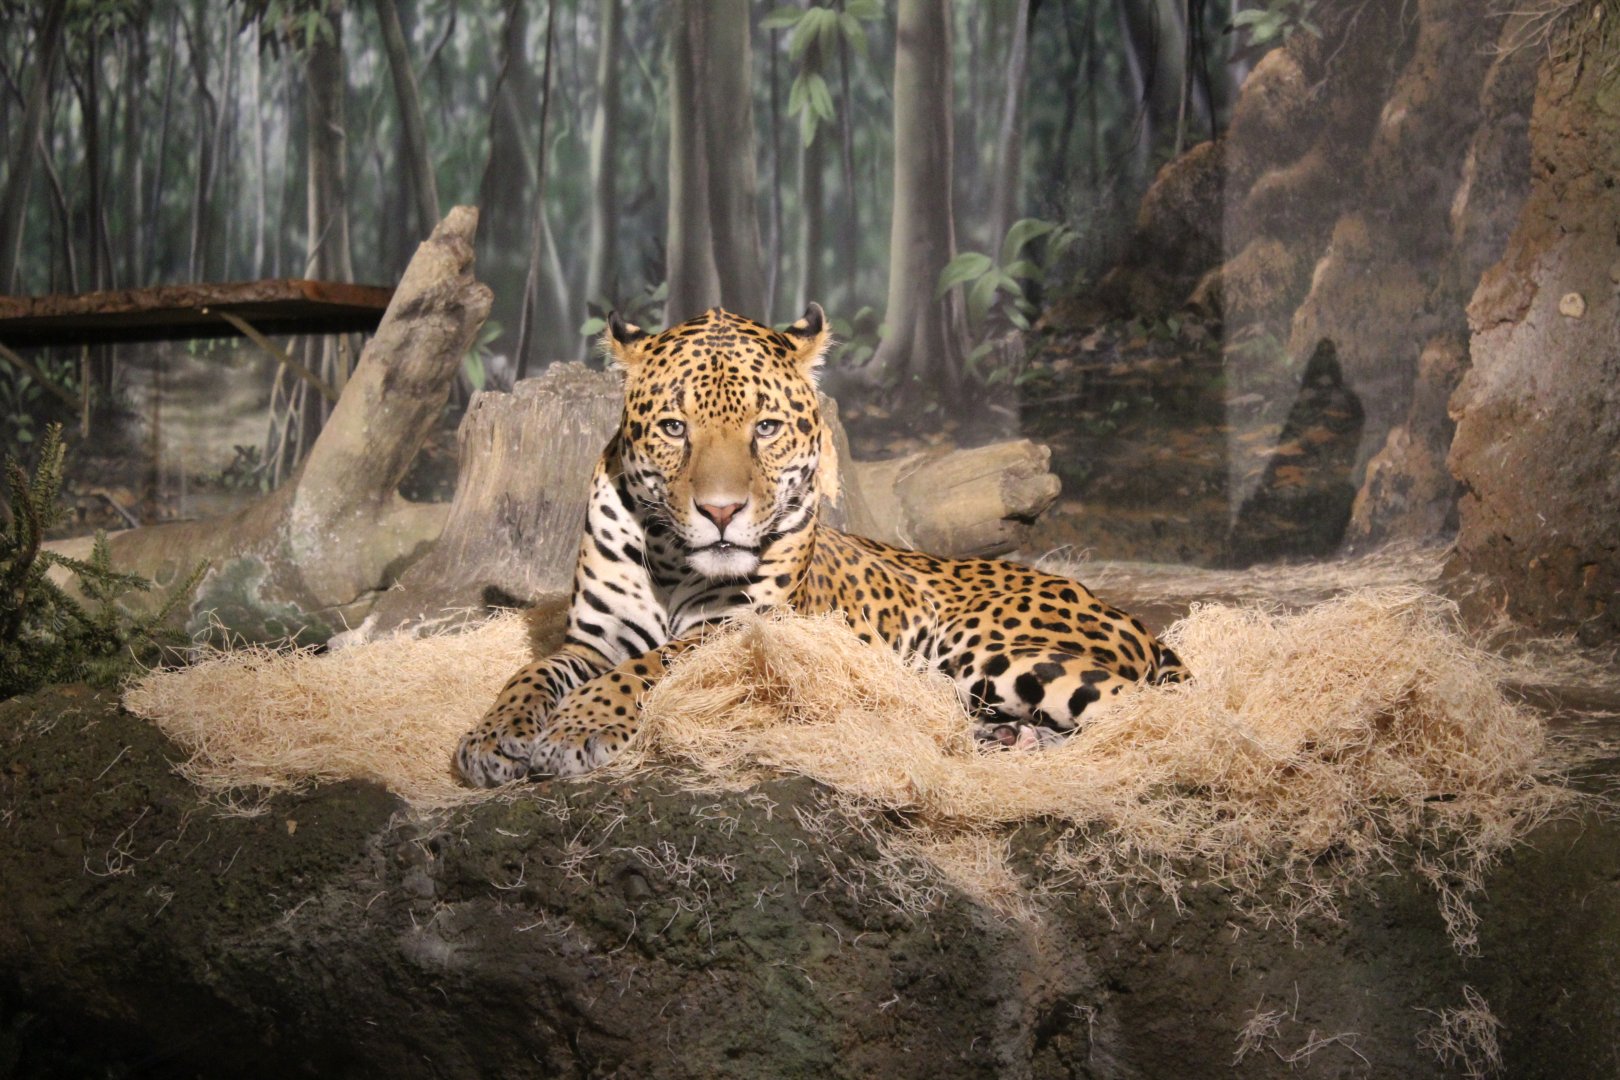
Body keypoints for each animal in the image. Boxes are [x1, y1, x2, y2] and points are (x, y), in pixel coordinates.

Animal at [455, 304, 1186, 787]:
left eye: (766, 427)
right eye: (673, 427)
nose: (721, 511)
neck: (669, 561)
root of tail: (1125, 615)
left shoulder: (736, 631)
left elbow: (646, 668)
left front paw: (576, 730)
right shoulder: (591, 642)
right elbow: (532, 674)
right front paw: (492, 738)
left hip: (995, 651)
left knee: (1143, 710)